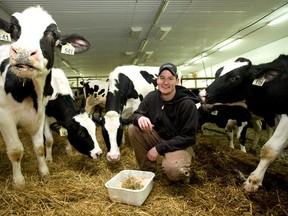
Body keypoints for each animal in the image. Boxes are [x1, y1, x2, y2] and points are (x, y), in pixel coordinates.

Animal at [0, 5, 89, 187]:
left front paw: (47, 169)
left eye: (53, 34)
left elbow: (40, 146)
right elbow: (18, 149)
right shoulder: (6, 117)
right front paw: (19, 182)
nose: (24, 52)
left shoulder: (41, 115)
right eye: (13, 27)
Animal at [200, 55, 286, 192]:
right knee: (258, 127)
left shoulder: (246, 118)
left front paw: (253, 181)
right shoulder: (232, 121)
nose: (202, 94)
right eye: (217, 73)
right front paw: (232, 148)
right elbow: (229, 134)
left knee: (268, 129)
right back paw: (254, 146)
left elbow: (267, 147)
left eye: (236, 77)